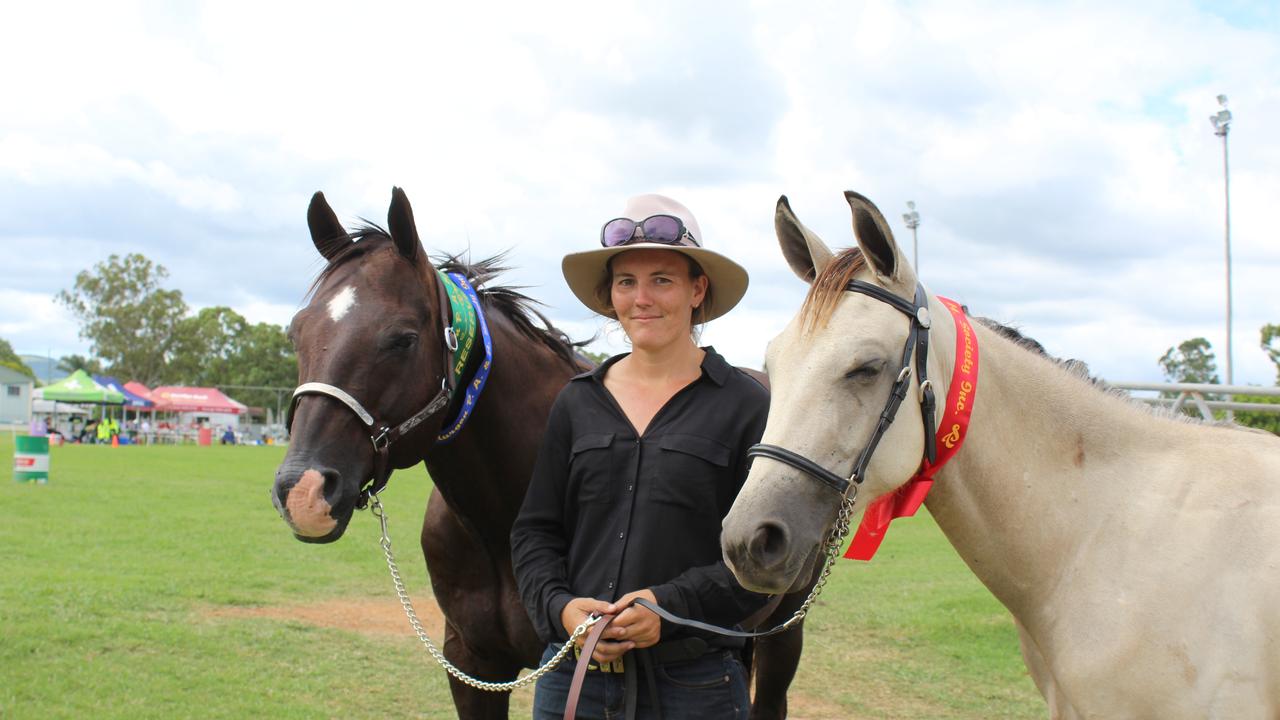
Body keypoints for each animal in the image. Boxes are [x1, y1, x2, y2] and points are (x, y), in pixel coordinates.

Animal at [270, 188, 808, 712]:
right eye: (297, 331)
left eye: (402, 339)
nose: (303, 492)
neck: (498, 523)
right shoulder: (472, 661)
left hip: (784, 628)